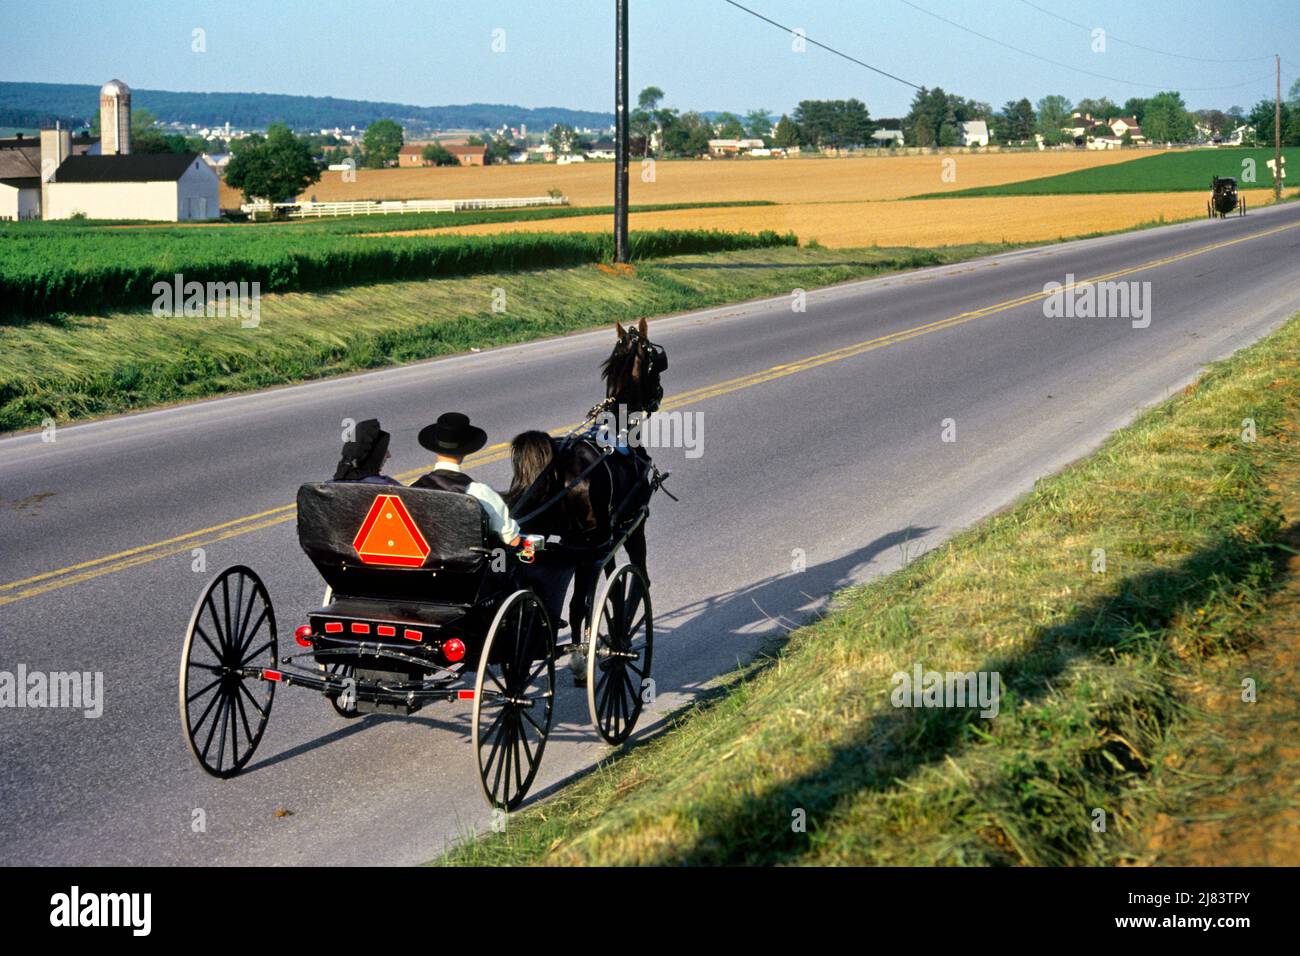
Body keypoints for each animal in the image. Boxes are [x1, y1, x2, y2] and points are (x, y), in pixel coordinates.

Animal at [506, 319, 670, 642]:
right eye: (655, 360)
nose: (657, 395)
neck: (618, 430)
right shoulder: (629, 527)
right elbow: (629, 582)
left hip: (553, 540)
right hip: (587, 543)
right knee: (578, 606)